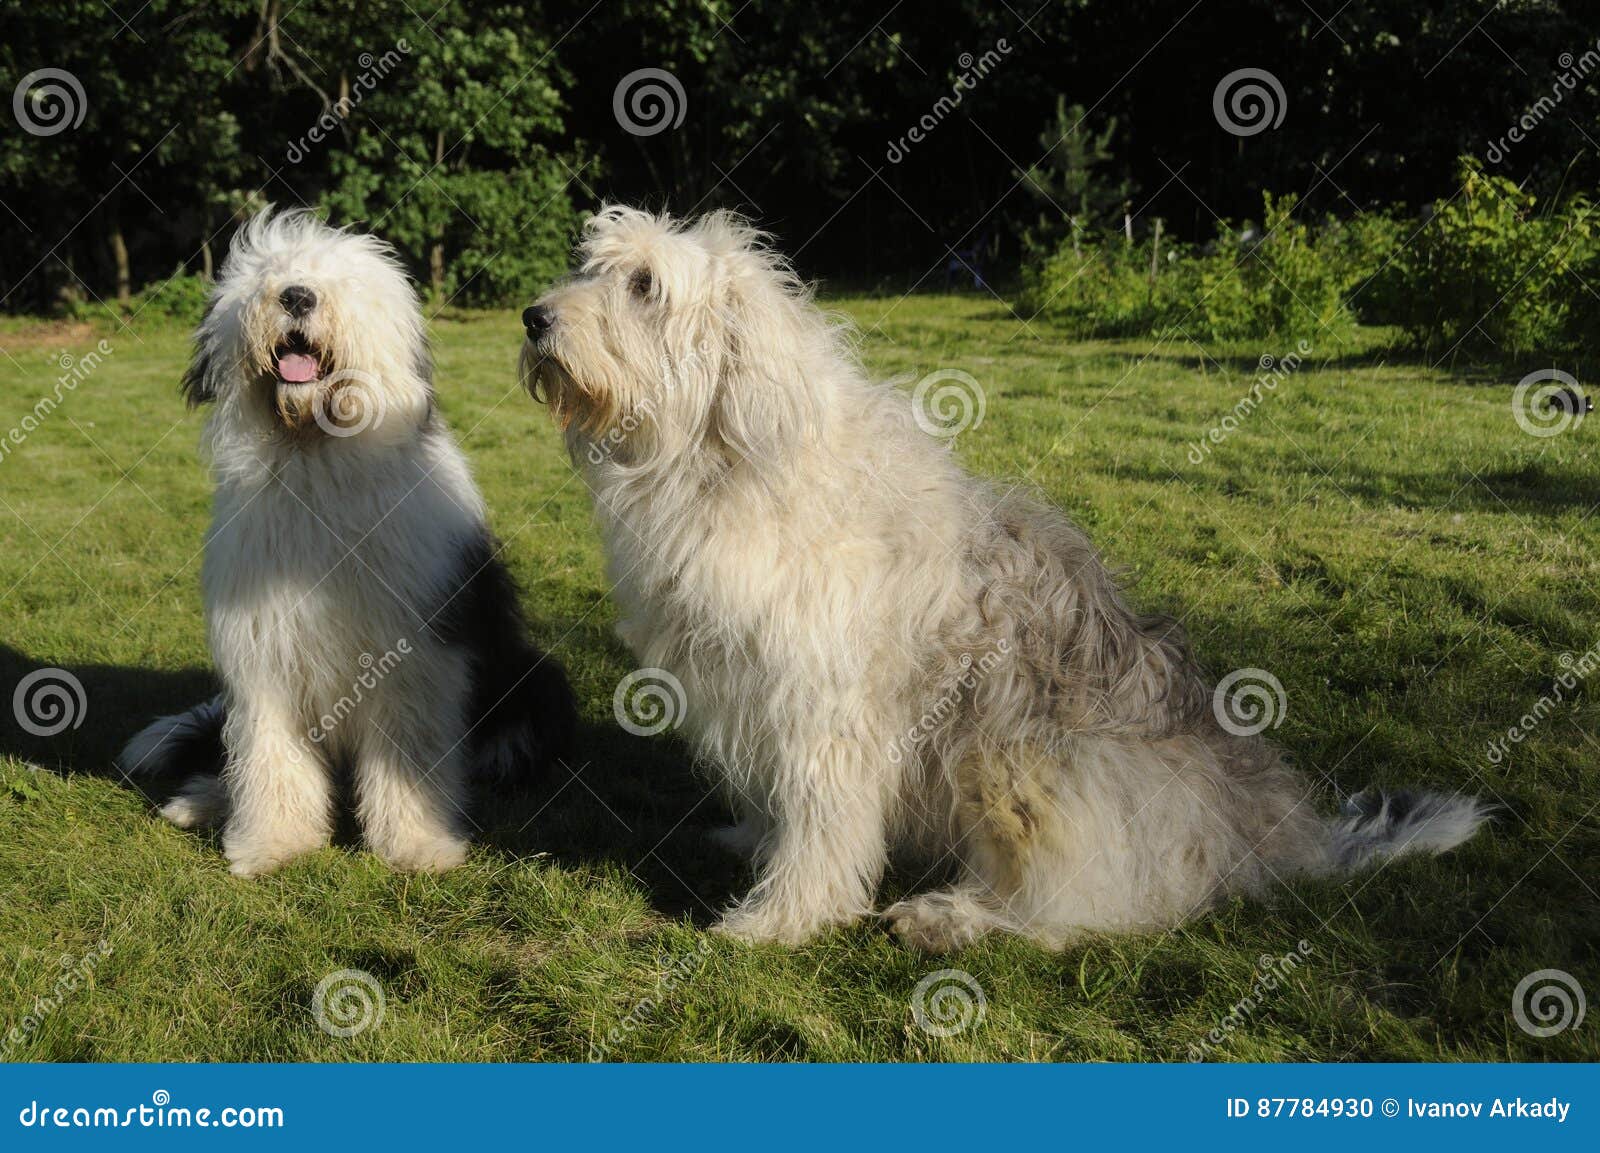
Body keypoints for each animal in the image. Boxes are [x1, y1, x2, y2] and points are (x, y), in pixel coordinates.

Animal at [116, 209, 576, 869]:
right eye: (267, 273)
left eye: (343, 281)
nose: (296, 295)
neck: (316, 455)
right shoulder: (265, 650)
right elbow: (269, 755)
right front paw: (271, 844)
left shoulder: (413, 654)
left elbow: (409, 753)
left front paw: (418, 845)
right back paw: (200, 801)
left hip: (536, 680)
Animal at [521, 206, 1484, 946]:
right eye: (592, 264)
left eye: (644, 286)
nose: (532, 317)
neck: (721, 457)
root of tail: (1260, 819)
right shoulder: (751, 688)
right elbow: (774, 799)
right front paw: (751, 840)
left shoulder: (829, 709)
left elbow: (824, 823)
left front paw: (780, 920)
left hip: (1020, 764)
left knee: (1076, 907)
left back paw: (949, 917)